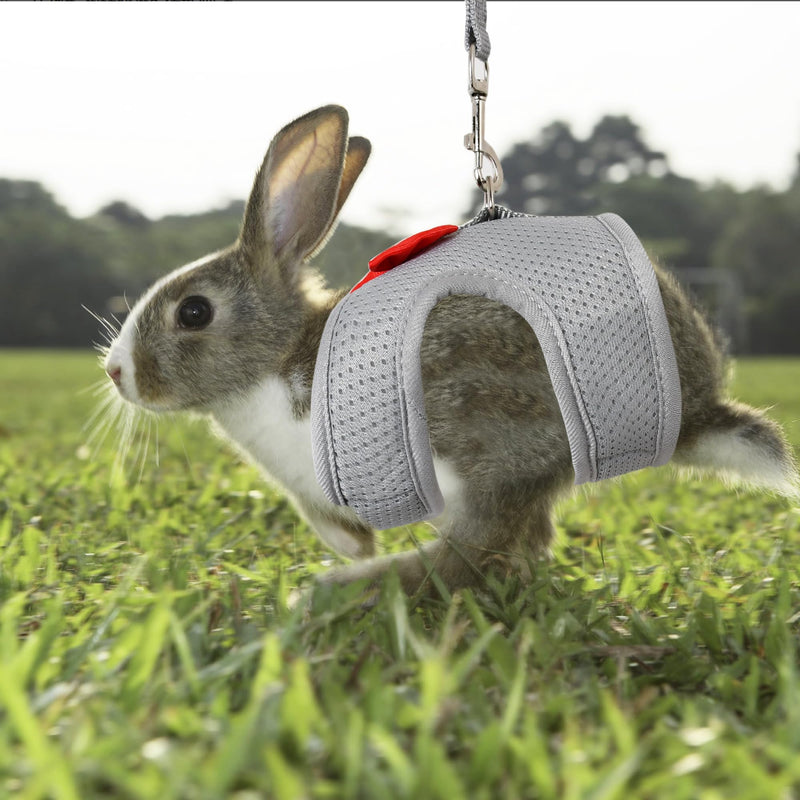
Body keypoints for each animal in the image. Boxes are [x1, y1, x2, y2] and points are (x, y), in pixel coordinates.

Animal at [103, 104, 799, 599]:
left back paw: (341, 591)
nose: (115, 372)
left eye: (194, 312)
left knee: (475, 553)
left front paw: (349, 562)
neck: (281, 358)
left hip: (484, 424)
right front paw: (351, 545)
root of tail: (697, 413)